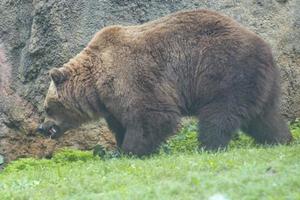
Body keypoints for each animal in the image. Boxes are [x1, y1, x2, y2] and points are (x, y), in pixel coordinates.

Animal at [38, 9, 292, 156]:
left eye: (47, 107)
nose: (42, 127)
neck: (95, 84)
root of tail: (266, 47)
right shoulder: (111, 102)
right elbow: (120, 123)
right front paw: (119, 147)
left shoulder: (131, 76)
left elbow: (151, 115)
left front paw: (130, 151)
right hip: (258, 83)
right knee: (264, 117)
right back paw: (281, 139)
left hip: (225, 71)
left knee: (219, 114)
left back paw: (208, 146)